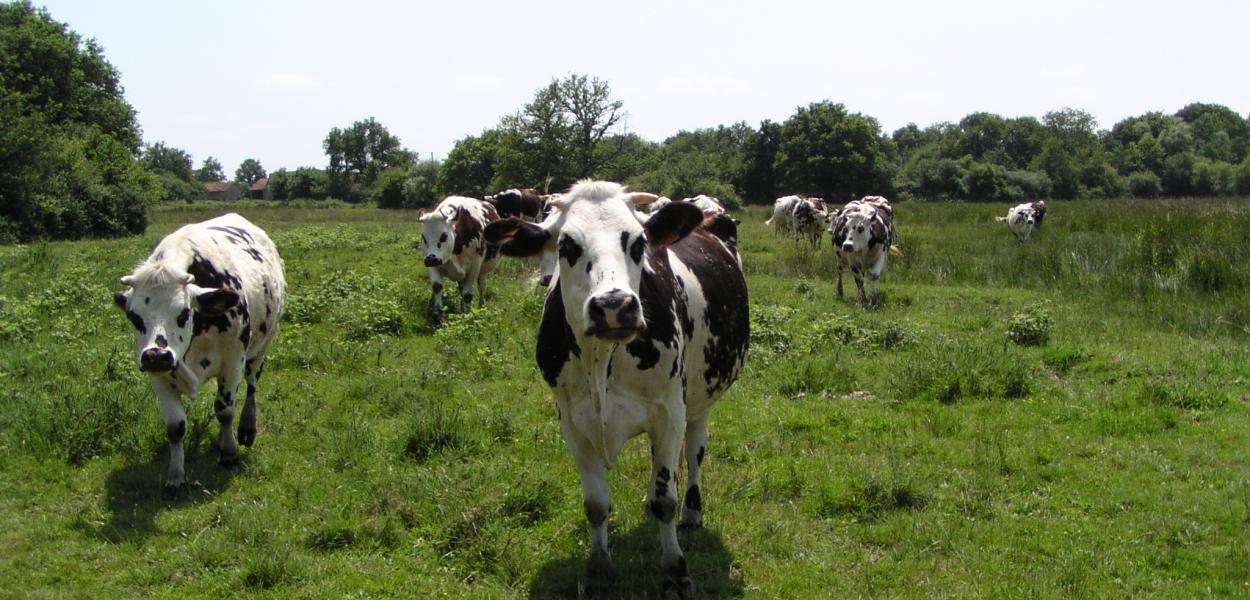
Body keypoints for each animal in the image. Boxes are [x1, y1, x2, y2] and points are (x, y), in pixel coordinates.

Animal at [113, 213, 286, 495]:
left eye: (184, 313)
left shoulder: (233, 360)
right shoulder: (157, 374)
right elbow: (175, 427)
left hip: (262, 344)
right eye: (133, 316)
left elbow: (225, 410)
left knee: (251, 384)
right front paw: (175, 476)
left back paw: (247, 427)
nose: (157, 355)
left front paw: (229, 452)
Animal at [482, 180, 745, 592]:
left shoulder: (669, 411)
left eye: (638, 243)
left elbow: (665, 500)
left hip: (698, 401)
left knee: (694, 452)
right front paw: (597, 571)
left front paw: (675, 570)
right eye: (566, 246)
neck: (602, 359)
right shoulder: (572, 421)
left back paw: (691, 512)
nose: (613, 305)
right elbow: (596, 505)